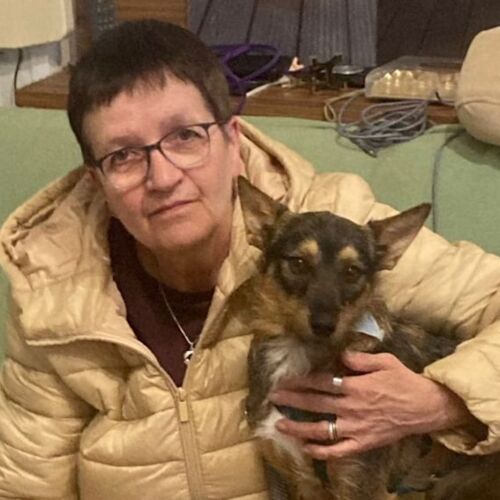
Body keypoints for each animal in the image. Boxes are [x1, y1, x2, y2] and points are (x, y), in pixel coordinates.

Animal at [237, 177, 500, 500]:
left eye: (352, 271)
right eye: (298, 263)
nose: (324, 325)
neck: (297, 351)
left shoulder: (360, 483)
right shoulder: (284, 473)